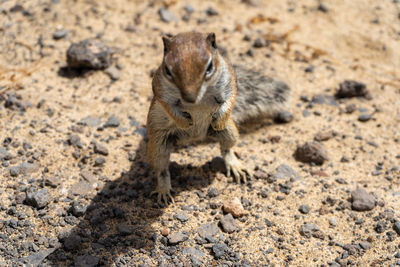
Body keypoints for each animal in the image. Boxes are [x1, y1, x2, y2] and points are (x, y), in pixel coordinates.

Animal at [145, 32, 290, 206]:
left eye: (209, 67)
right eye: (167, 69)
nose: (189, 98)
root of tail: (194, 138)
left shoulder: (229, 77)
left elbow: (231, 96)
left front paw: (218, 118)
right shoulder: (159, 86)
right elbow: (167, 104)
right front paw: (185, 121)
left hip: (229, 132)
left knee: (226, 149)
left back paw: (235, 166)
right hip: (158, 144)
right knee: (162, 169)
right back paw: (163, 190)